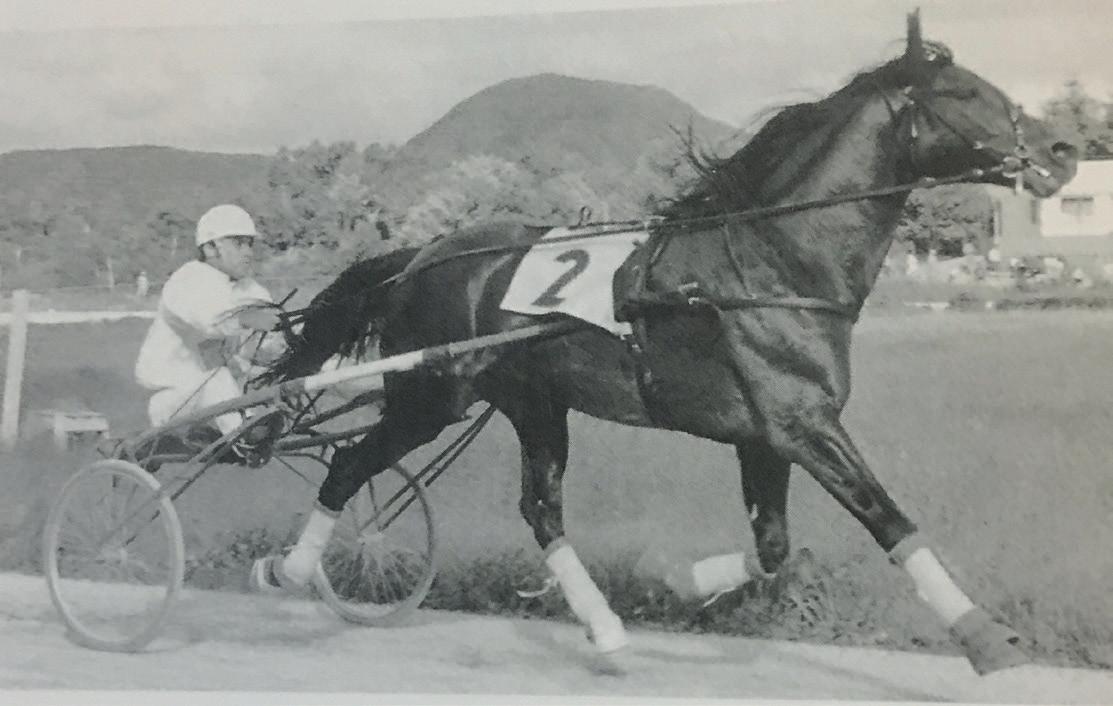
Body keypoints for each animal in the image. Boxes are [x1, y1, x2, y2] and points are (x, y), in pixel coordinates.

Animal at [258, 12, 1077, 675]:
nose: (1065, 149)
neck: (769, 260)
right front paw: (984, 637)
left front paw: (675, 579)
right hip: (431, 395)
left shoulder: (764, 436)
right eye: (966, 93)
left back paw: (605, 628)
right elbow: (888, 518)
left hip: (533, 404)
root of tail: (420, 257)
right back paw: (291, 571)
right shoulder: (801, 424)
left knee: (540, 509)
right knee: (349, 463)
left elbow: (774, 548)